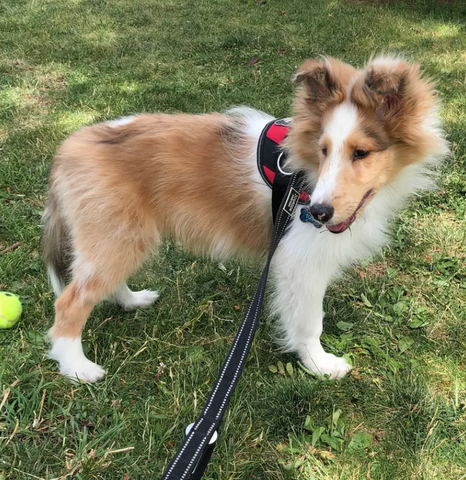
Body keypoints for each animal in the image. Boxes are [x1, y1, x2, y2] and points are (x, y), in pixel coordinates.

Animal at [42, 54, 448, 382]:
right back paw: (77, 368)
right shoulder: (300, 262)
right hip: (117, 235)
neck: (305, 175)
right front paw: (319, 364)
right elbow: (309, 321)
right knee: (70, 302)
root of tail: (68, 148)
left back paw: (131, 301)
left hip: (120, 238)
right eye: (323, 150)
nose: (318, 213)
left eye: (361, 152)